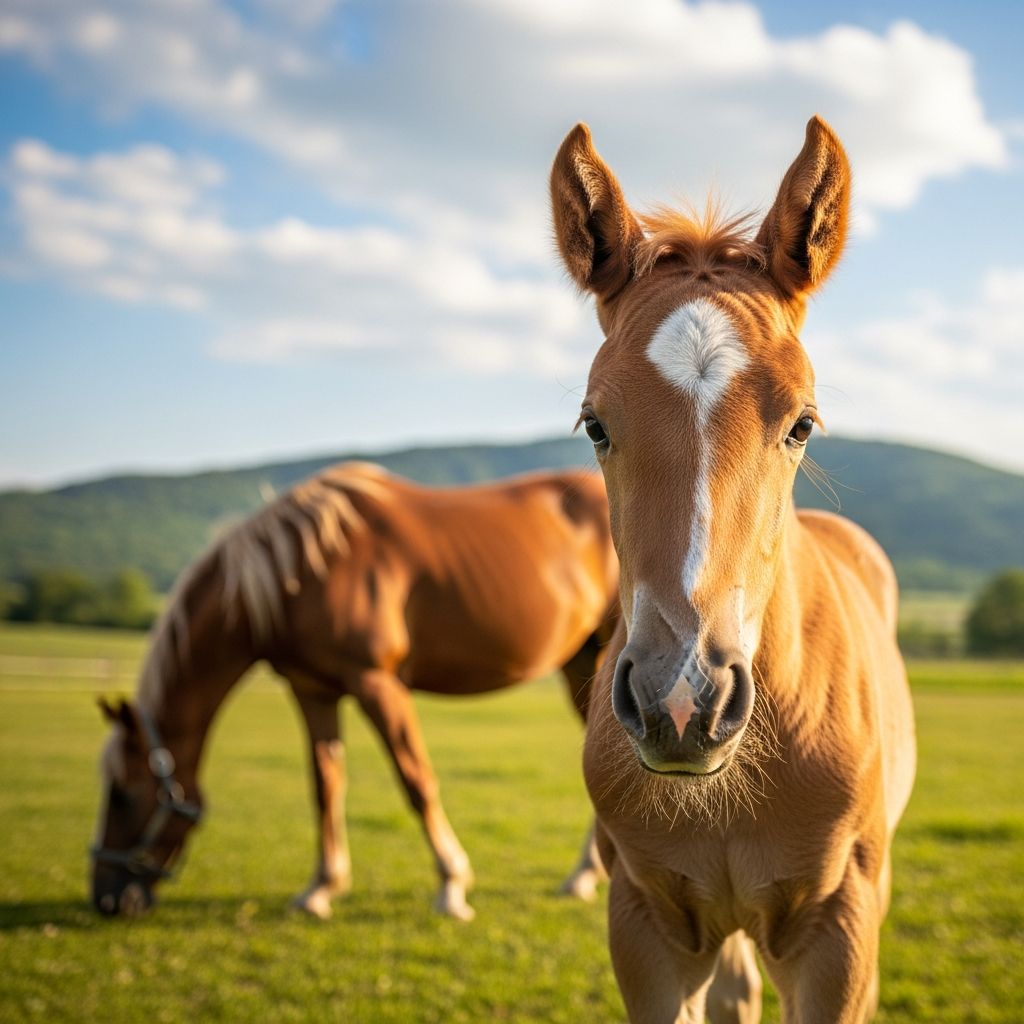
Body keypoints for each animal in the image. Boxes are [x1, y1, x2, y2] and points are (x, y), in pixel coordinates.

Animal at [92, 462, 619, 921]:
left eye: (122, 795)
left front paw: (451, 886)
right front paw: (321, 889)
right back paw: (585, 876)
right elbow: (326, 785)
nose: (106, 900)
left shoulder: (376, 683)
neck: (298, 570)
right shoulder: (313, 691)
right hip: (578, 665)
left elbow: (415, 781)